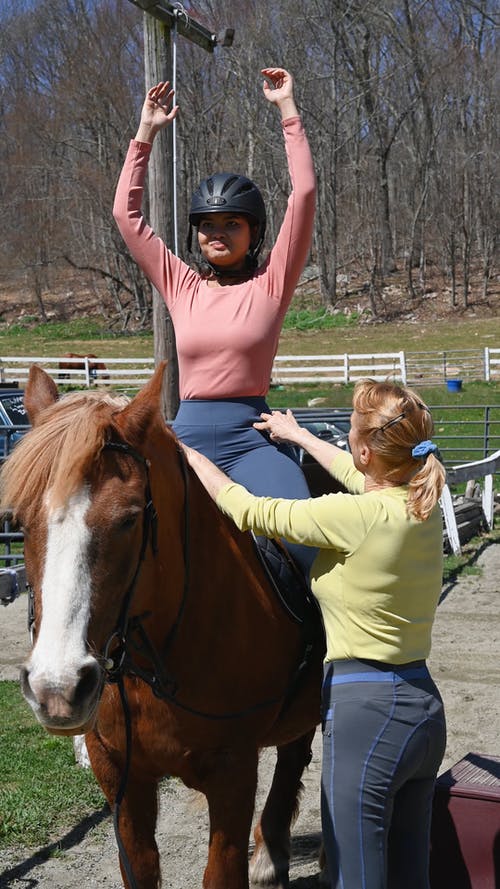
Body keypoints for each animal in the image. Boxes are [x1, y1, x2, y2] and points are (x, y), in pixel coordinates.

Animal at [0, 362, 326, 888]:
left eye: (130, 519)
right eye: (20, 520)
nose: (58, 688)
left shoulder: (234, 775)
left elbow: (221, 872)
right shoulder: (120, 776)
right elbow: (140, 866)